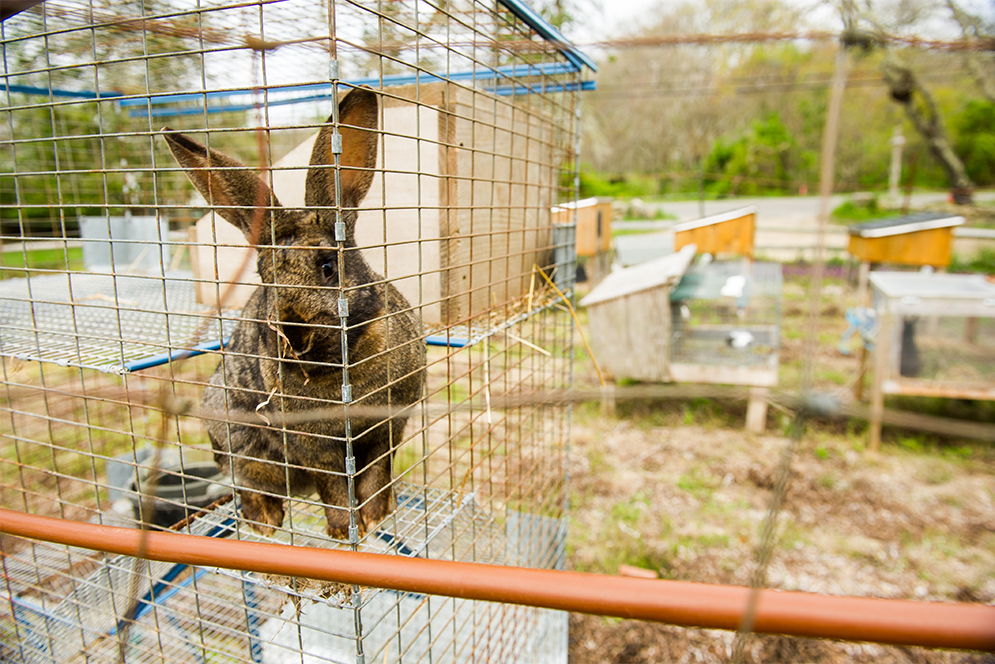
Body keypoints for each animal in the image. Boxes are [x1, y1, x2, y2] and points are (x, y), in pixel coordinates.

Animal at [162, 84, 424, 540]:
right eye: (264, 277)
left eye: (328, 266)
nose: (294, 335)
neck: (337, 366)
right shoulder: (312, 446)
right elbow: (333, 488)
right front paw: (344, 530)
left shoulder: (387, 428)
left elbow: (376, 475)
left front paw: (375, 517)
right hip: (240, 445)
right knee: (249, 486)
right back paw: (264, 523)